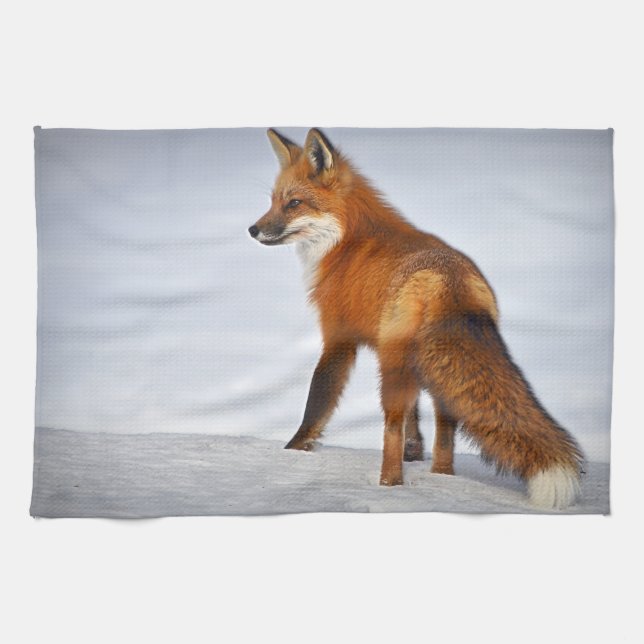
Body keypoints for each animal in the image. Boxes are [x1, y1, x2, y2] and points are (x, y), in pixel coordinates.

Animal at [249, 127, 584, 510]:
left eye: (294, 203)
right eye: (273, 201)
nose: (252, 229)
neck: (346, 241)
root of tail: (448, 279)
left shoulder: (339, 338)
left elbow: (317, 402)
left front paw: (292, 451)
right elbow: (415, 420)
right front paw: (415, 452)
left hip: (393, 369)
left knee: (391, 429)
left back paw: (389, 486)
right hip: (430, 369)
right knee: (445, 430)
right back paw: (441, 478)